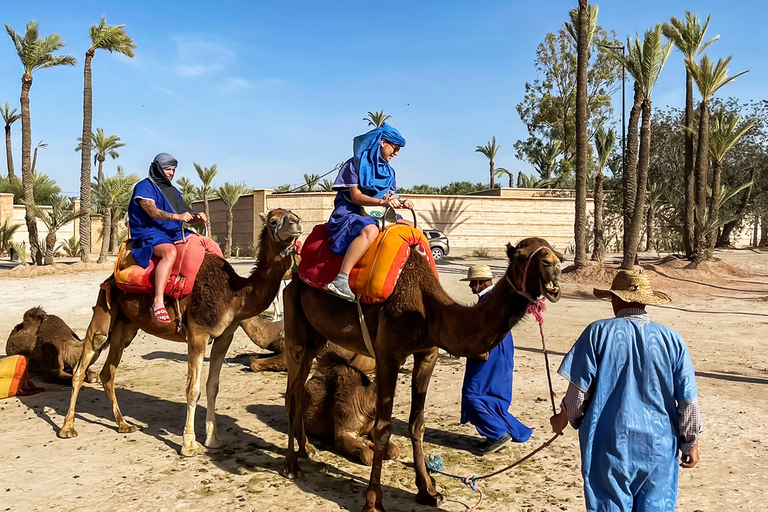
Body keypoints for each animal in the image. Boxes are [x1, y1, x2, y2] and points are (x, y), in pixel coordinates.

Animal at [58, 208, 304, 456]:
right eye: (273, 221)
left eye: (291, 213)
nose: (297, 222)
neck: (234, 295)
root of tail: (112, 275)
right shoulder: (197, 334)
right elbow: (192, 389)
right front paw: (189, 444)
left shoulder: (224, 336)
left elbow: (213, 387)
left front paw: (213, 439)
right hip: (104, 310)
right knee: (84, 361)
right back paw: (67, 428)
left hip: (126, 326)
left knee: (108, 371)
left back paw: (124, 424)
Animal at [282, 238, 564, 510]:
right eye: (521, 257)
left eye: (554, 253)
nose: (554, 267)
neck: (428, 311)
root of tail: (295, 275)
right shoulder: (387, 355)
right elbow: (382, 428)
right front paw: (373, 502)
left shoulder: (427, 354)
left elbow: (417, 424)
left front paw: (429, 491)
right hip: (294, 320)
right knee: (292, 391)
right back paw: (291, 465)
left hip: (317, 335)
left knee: (298, 385)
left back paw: (307, 450)